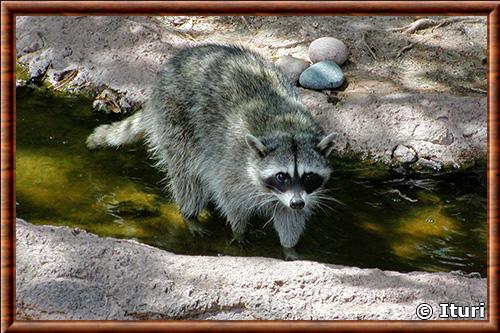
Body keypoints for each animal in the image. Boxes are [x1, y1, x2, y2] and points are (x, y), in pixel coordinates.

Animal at [86, 42, 336, 258]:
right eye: (281, 176)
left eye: (308, 176)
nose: (297, 202)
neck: (286, 128)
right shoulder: (233, 164)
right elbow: (230, 198)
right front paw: (239, 229)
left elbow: (290, 218)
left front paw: (289, 247)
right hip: (175, 122)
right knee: (187, 176)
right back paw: (190, 215)